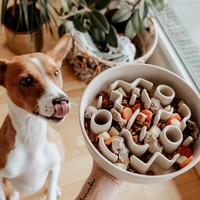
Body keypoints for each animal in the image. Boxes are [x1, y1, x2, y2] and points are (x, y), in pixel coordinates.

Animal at [0, 35, 72, 199]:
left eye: (56, 73)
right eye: (26, 80)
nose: (62, 101)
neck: (31, 132)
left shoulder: (54, 168)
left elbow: (50, 192)